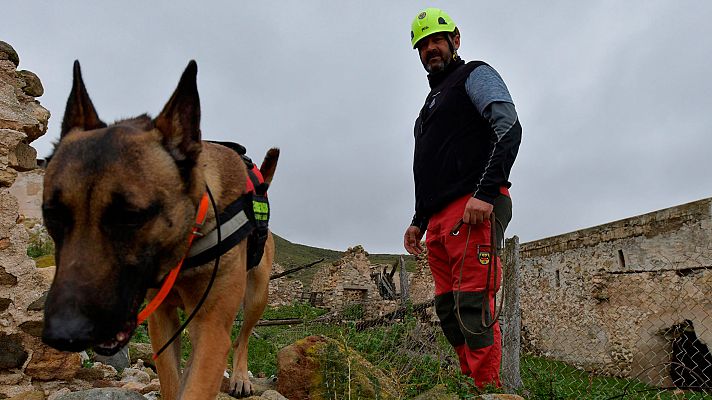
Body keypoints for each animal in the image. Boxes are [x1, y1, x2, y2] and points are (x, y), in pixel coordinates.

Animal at [40, 60, 276, 400]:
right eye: (52, 215)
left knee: (242, 335)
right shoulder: (162, 320)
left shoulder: (212, 327)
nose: (63, 334)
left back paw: (240, 376)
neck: (185, 246)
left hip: (257, 293)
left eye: (130, 217)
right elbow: (171, 379)